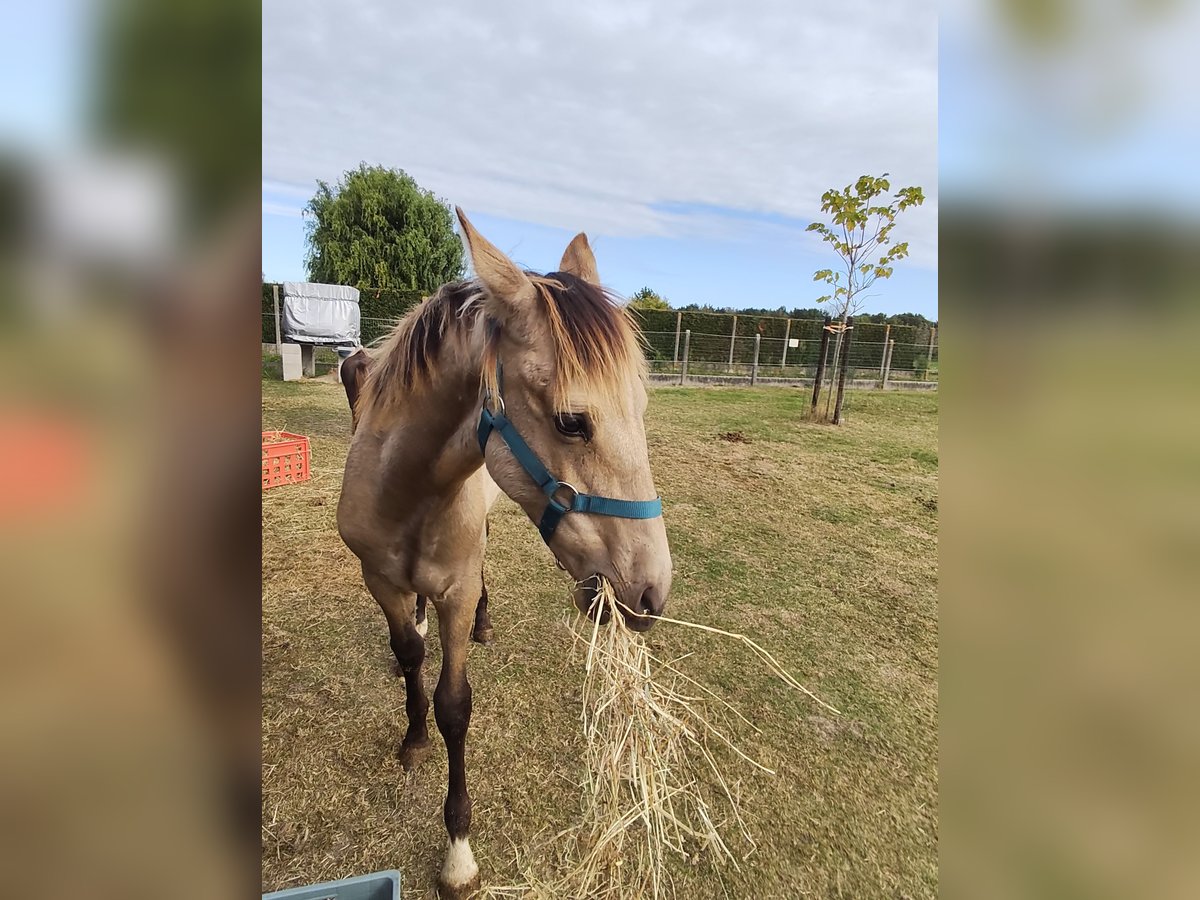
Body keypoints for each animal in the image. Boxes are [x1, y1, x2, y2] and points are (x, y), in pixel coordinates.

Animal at [336, 209, 673, 898]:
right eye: (572, 421)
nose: (651, 592)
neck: (404, 491)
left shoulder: (457, 591)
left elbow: (455, 704)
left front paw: (458, 852)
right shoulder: (377, 579)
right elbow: (409, 657)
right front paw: (412, 738)